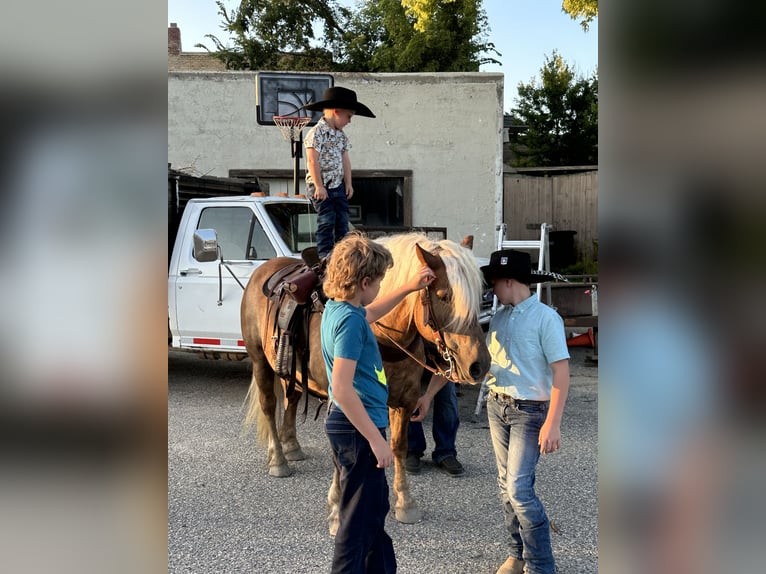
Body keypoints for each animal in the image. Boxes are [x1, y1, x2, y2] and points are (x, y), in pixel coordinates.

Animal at [242, 233, 492, 536]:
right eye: (444, 296)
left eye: (478, 297)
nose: (479, 365)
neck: (382, 335)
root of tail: (267, 268)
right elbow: (343, 455)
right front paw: (337, 508)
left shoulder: (405, 402)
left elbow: (398, 447)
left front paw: (405, 502)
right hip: (260, 361)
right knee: (269, 405)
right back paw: (278, 459)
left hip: (291, 372)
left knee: (291, 400)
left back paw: (291, 446)